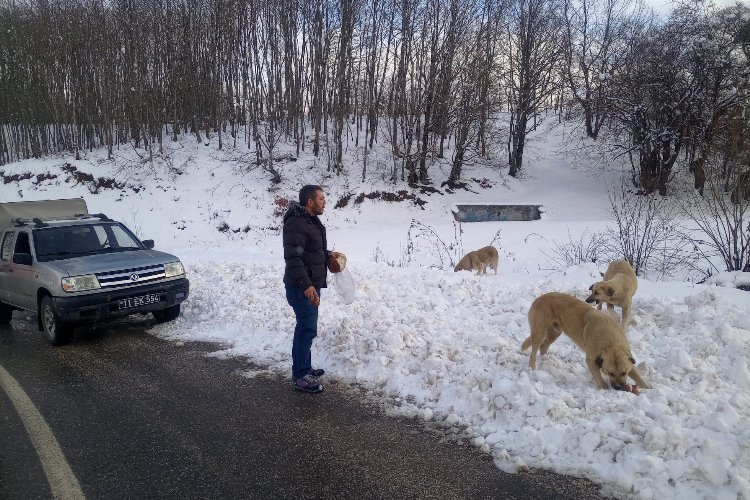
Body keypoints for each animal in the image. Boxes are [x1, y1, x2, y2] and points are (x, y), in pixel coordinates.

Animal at [524, 292, 652, 392]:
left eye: (624, 372)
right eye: (609, 373)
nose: (618, 387)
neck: (611, 343)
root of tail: (539, 298)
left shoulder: (628, 360)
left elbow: (638, 376)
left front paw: (648, 388)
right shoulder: (591, 360)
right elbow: (599, 379)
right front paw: (604, 389)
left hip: (555, 332)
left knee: (543, 347)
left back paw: (547, 360)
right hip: (539, 332)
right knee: (533, 352)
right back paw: (533, 367)